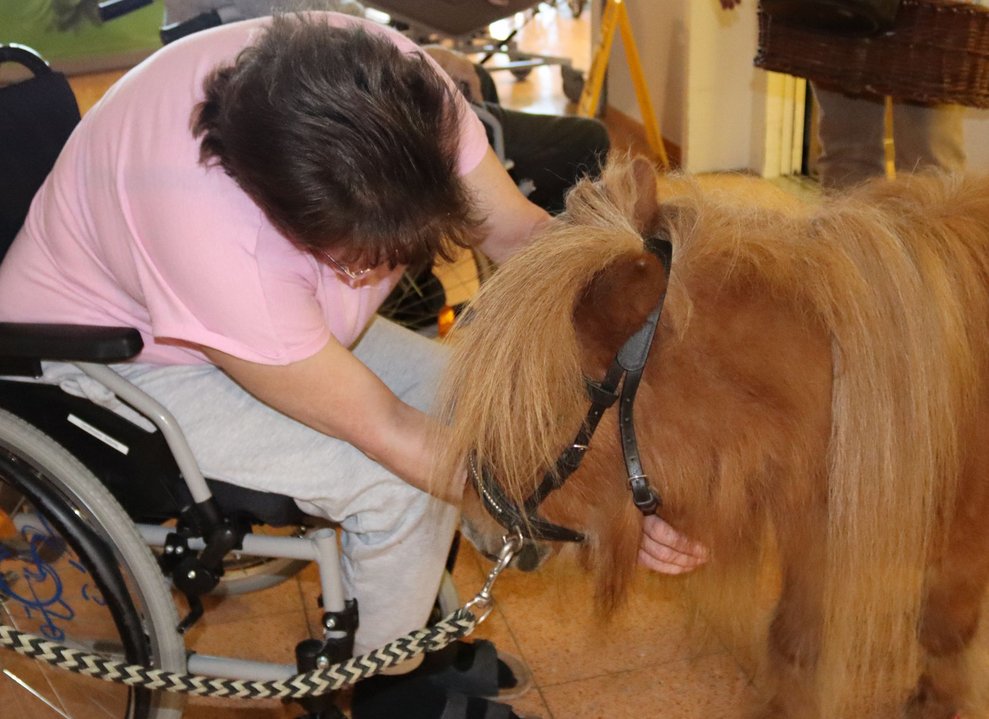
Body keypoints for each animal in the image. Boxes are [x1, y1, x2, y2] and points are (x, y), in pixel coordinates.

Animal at [433, 158, 989, 719]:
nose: (474, 528)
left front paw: (936, 703)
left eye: (536, 412)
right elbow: (794, 641)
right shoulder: (816, 538)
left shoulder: (961, 552)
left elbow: (942, 633)